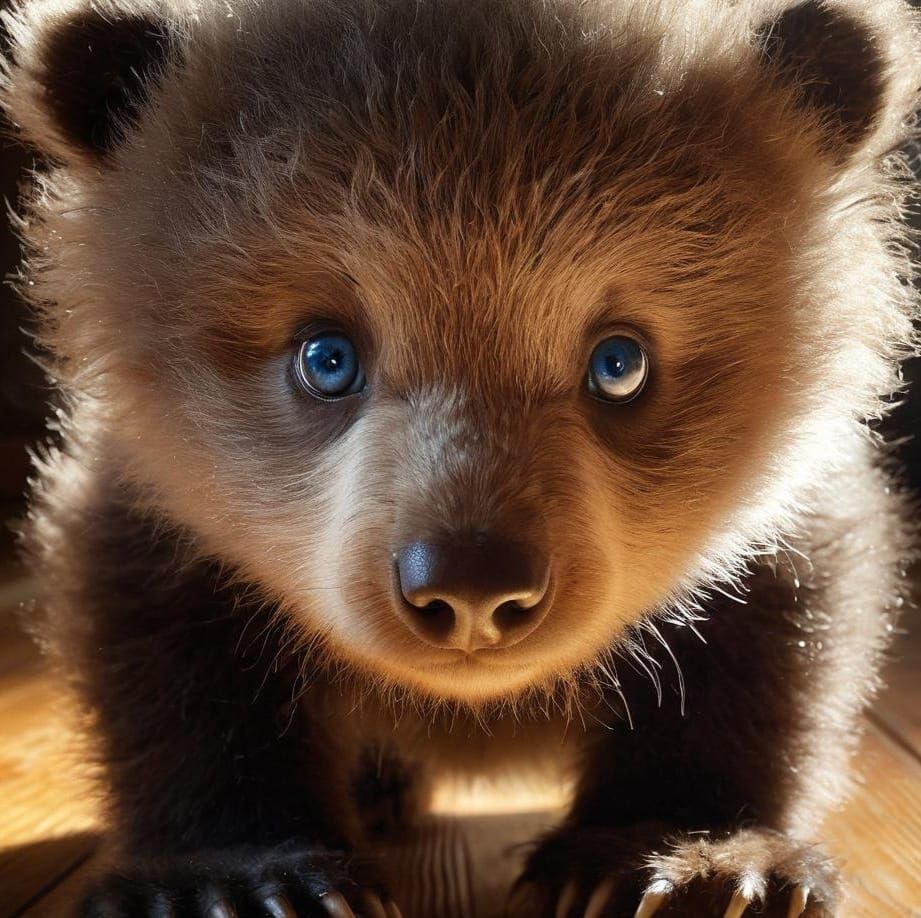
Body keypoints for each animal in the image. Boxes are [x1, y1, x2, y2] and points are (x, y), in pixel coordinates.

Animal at [3, 0, 919, 915]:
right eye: (326, 355)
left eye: (618, 362)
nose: (472, 586)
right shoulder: (167, 496)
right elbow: (170, 661)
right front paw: (234, 876)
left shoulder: (776, 505)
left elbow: (765, 639)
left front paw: (690, 859)